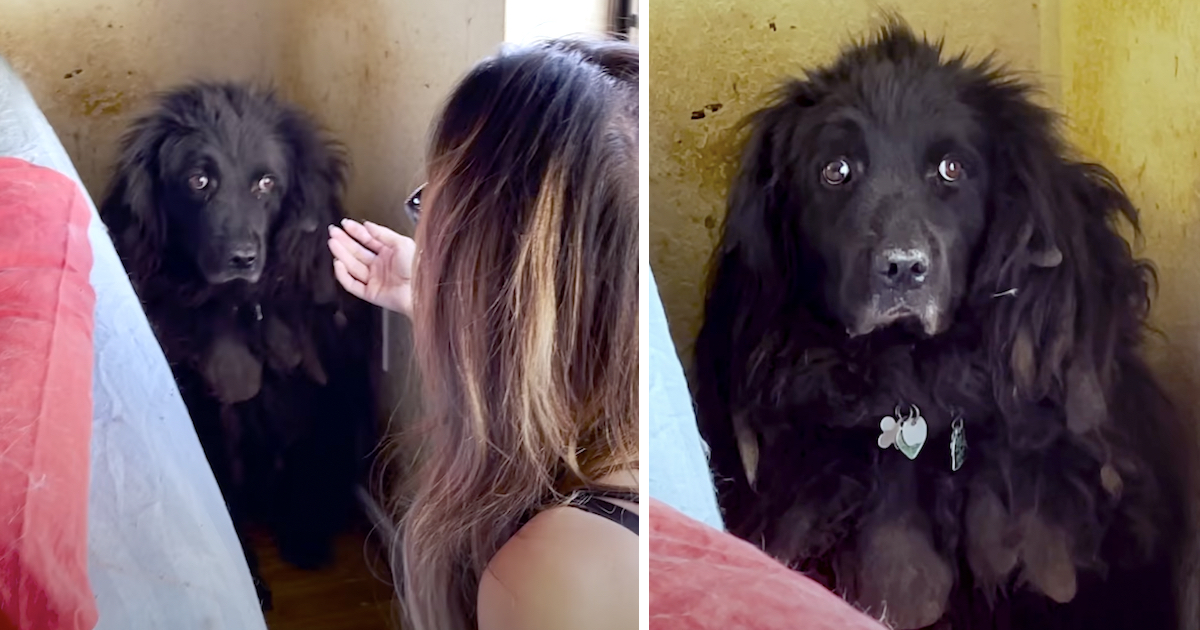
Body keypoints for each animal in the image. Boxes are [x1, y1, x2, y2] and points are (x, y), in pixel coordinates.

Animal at [101, 81, 376, 607]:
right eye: (198, 181)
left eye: (266, 183)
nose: (242, 257)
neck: (236, 306)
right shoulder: (200, 407)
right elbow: (220, 497)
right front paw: (246, 574)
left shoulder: (300, 388)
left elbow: (304, 460)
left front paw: (304, 535)